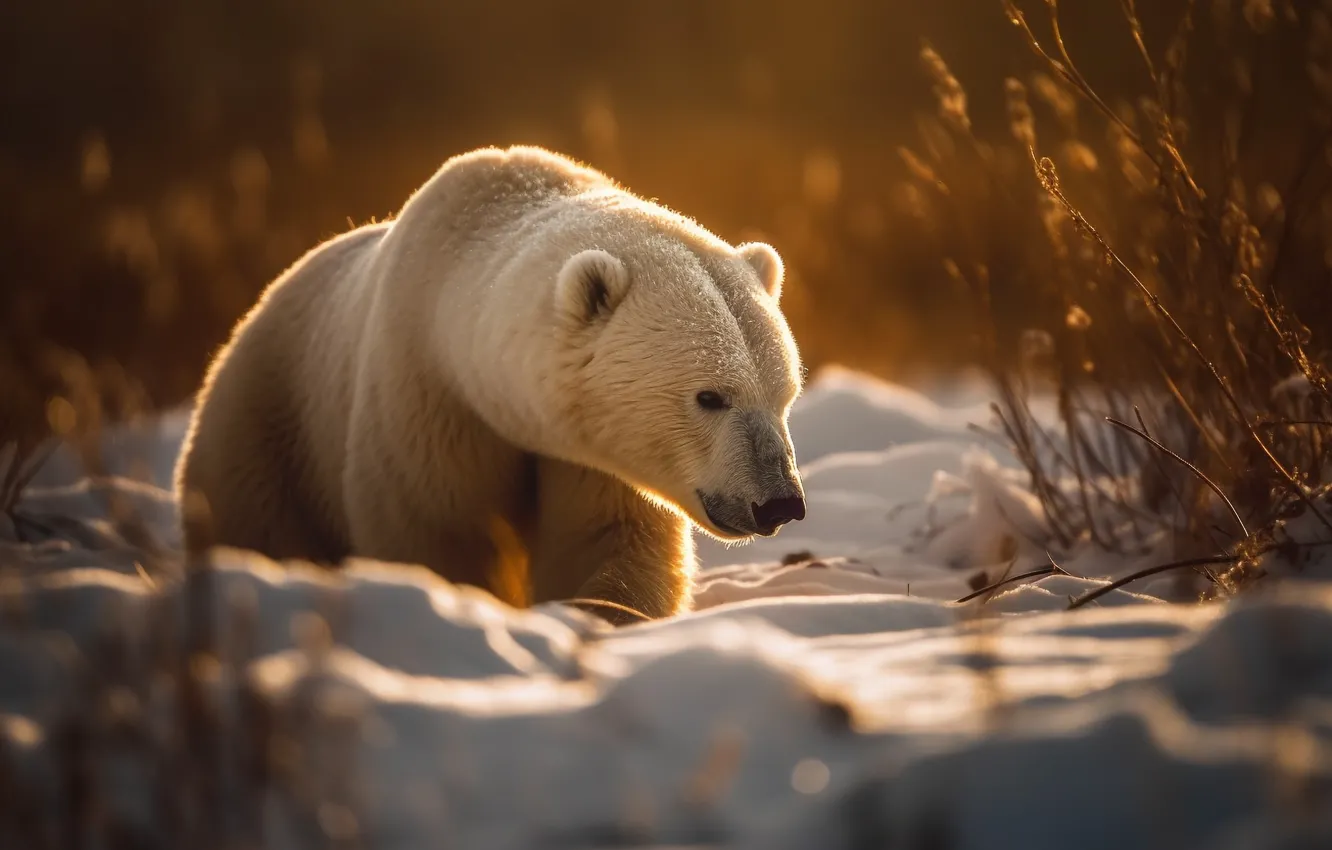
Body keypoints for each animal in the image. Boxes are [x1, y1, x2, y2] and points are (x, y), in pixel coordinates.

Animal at [174, 145, 799, 626]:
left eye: (783, 395)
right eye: (710, 396)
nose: (780, 502)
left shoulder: (590, 453)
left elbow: (607, 540)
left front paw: (604, 616)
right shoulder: (426, 400)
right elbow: (439, 535)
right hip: (268, 430)